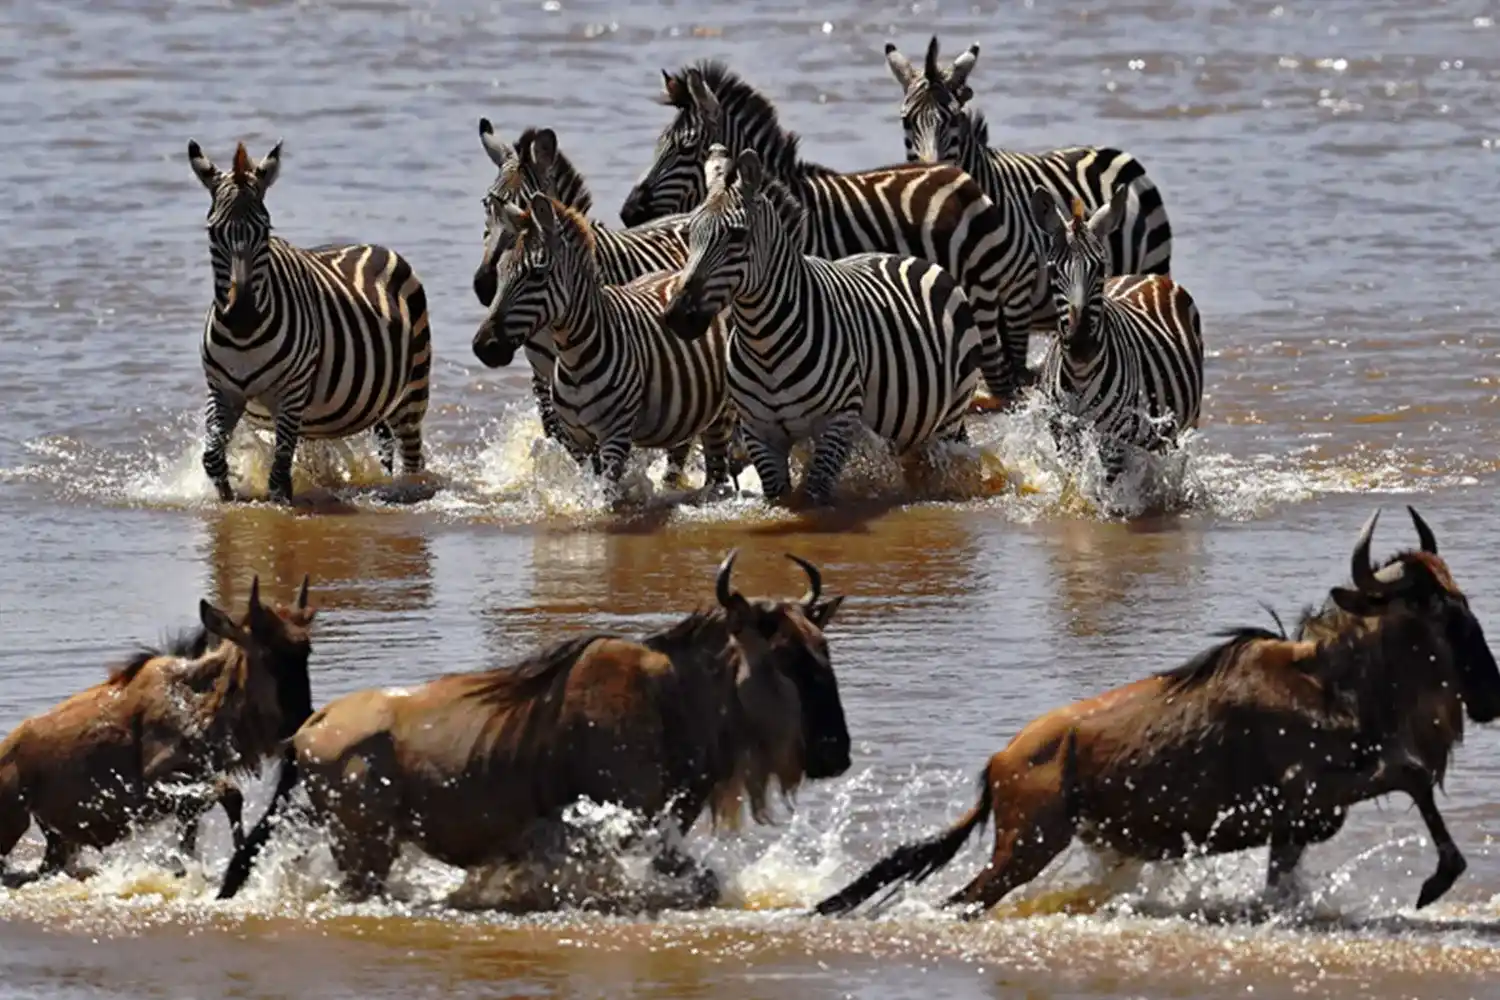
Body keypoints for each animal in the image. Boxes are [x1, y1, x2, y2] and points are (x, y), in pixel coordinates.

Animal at [187, 140, 431, 505]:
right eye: (213, 232)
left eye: (265, 231)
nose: (242, 317)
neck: (244, 340)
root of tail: (369, 245)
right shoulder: (223, 390)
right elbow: (213, 458)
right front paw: (227, 500)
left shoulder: (292, 391)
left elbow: (278, 475)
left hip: (412, 391)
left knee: (413, 459)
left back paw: (407, 492)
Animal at [660, 145, 984, 508]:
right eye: (689, 235)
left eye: (737, 235)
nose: (676, 315)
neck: (764, 342)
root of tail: (916, 259)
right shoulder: (761, 432)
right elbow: (778, 494)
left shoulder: (836, 422)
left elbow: (816, 493)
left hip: (949, 414)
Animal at [884, 36, 1175, 348]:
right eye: (906, 121)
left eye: (952, 120)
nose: (932, 174)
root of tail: (1115, 153)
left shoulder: (1016, 296)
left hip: (1151, 266)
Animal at [1029, 183, 1203, 481]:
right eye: (1052, 270)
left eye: (1100, 267)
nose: (1081, 345)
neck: (1079, 375)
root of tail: (1146, 276)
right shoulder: (1062, 433)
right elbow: (1073, 481)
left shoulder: (1114, 439)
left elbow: (1105, 486)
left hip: (1180, 425)